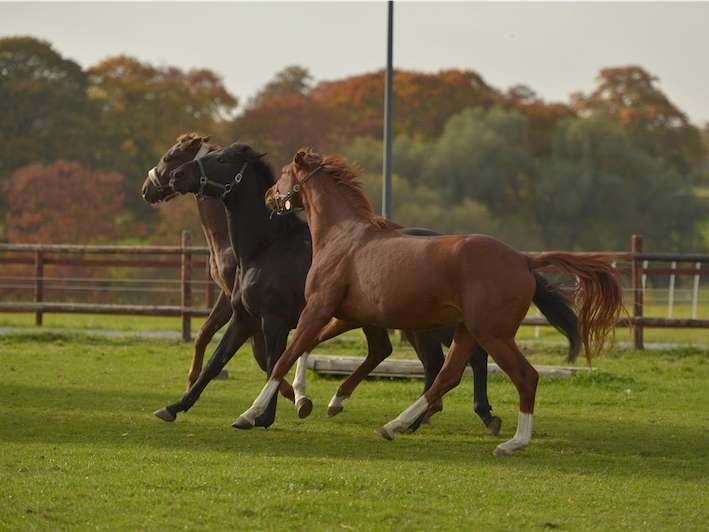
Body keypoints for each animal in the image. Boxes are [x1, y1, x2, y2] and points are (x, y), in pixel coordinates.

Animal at [165, 141, 582, 438]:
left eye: (221, 159)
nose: (176, 177)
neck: (267, 246)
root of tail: (521, 260)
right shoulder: (248, 318)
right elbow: (220, 360)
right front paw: (174, 406)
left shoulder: (280, 318)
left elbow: (276, 359)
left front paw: (266, 412)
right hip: (418, 324)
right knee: (427, 361)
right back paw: (406, 415)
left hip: (445, 326)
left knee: (462, 362)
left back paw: (466, 417)